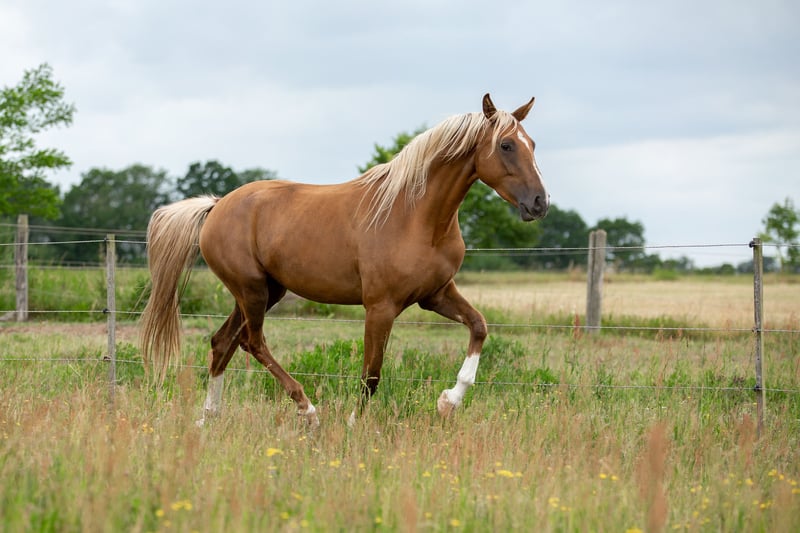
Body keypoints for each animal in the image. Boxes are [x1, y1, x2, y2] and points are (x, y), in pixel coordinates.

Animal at [139, 93, 548, 427]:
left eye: (532, 144)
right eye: (506, 145)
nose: (540, 203)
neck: (414, 215)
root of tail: (216, 206)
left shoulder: (436, 295)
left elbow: (479, 326)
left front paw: (449, 401)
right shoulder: (380, 307)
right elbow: (372, 372)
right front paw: (354, 423)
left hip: (266, 292)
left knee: (222, 341)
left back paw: (209, 417)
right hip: (251, 290)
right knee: (252, 343)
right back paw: (307, 410)